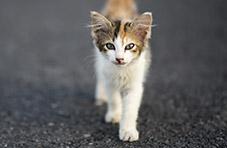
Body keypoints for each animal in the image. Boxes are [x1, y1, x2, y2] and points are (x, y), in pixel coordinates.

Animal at [89, 0, 152, 142]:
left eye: (130, 46)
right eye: (110, 46)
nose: (119, 59)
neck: (121, 71)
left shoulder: (135, 85)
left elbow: (130, 109)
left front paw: (128, 131)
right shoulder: (109, 79)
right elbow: (113, 99)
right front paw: (114, 115)